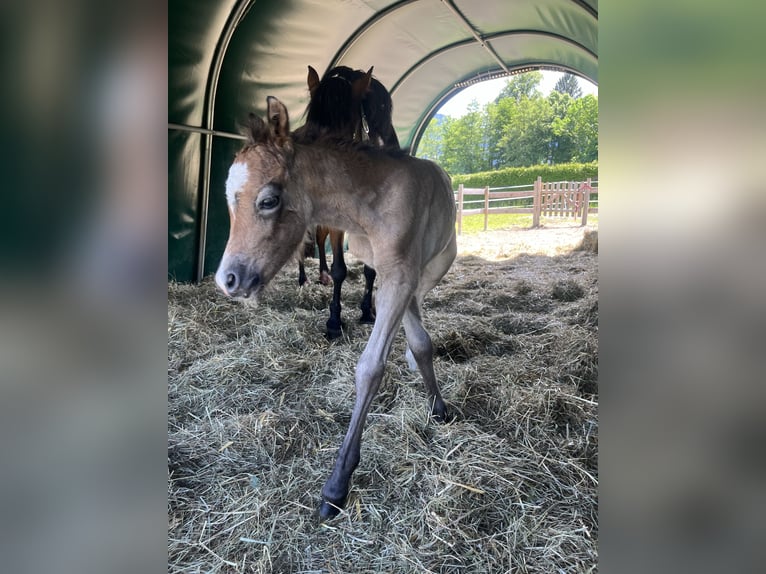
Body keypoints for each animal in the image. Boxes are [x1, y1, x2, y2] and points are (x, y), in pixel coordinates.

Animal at [216, 99, 456, 520]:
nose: (227, 279)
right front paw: (432, 398)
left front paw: (337, 484)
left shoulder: (403, 276)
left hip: (441, 260)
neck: (374, 203)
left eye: (268, 200)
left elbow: (372, 367)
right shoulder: (394, 276)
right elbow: (418, 339)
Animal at [296, 65, 402, 340]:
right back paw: (303, 280)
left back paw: (320, 275)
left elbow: (370, 269)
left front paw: (368, 311)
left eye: (342, 136)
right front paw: (334, 321)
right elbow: (340, 269)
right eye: (310, 126)